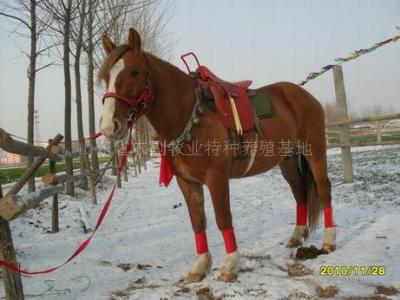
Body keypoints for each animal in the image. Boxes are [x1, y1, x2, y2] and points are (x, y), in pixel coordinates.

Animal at [98, 27, 336, 282]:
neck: (190, 117)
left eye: (135, 72)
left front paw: (230, 265)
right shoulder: (187, 182)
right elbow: (197, 222)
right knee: (300, 192)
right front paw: (200, 266)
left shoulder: (216, 178)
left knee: (324, 189)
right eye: (106, 76)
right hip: (287, 160)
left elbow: (223, 219)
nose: (108, 126)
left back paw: (329, 241)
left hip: (314, 152)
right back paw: (296, 236)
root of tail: (304, 94)